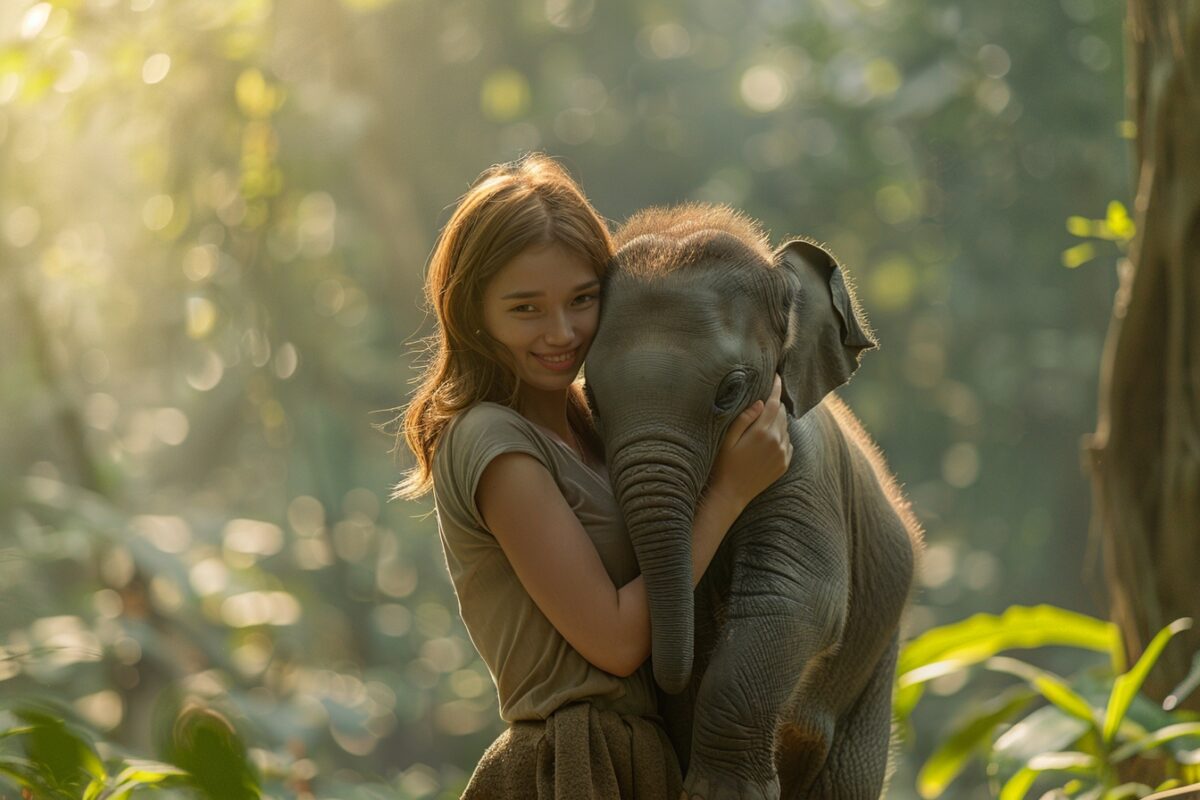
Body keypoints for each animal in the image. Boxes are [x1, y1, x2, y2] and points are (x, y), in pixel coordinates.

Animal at [585, 205, 921, 800]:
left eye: (729, 390)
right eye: (591, 400)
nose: (668, 674)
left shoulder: (802, 466)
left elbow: (794, 594)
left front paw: (719, 794)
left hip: (879, 658)